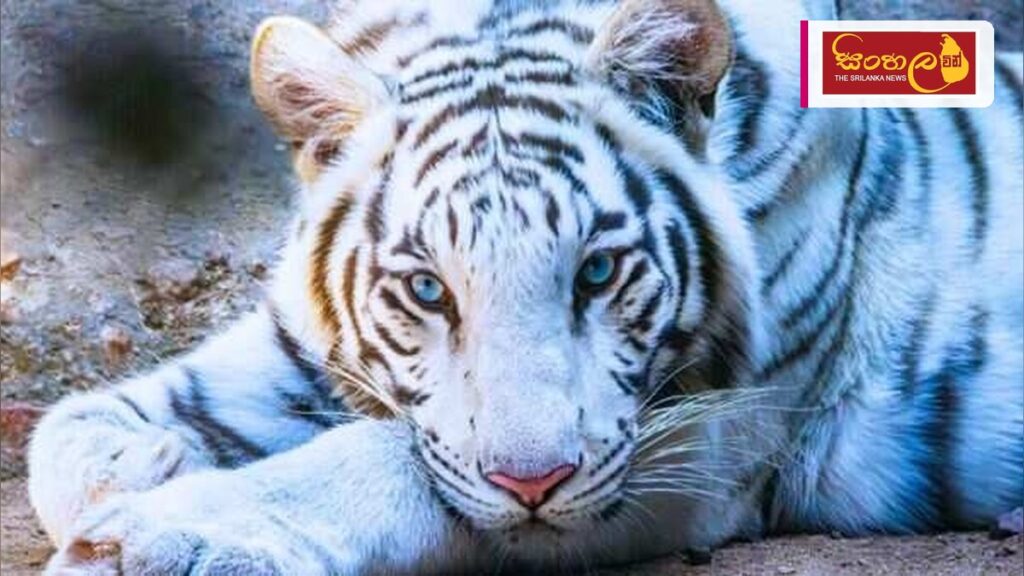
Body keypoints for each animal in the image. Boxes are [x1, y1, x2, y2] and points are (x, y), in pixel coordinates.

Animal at [29, 0, 1024, 573]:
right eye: (428, 290)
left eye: (597, 271)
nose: (534, 483)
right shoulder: (299, 342)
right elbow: (68, 430)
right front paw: (148, 465)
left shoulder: (707, 439)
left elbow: (396, 459)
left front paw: (159, 536)